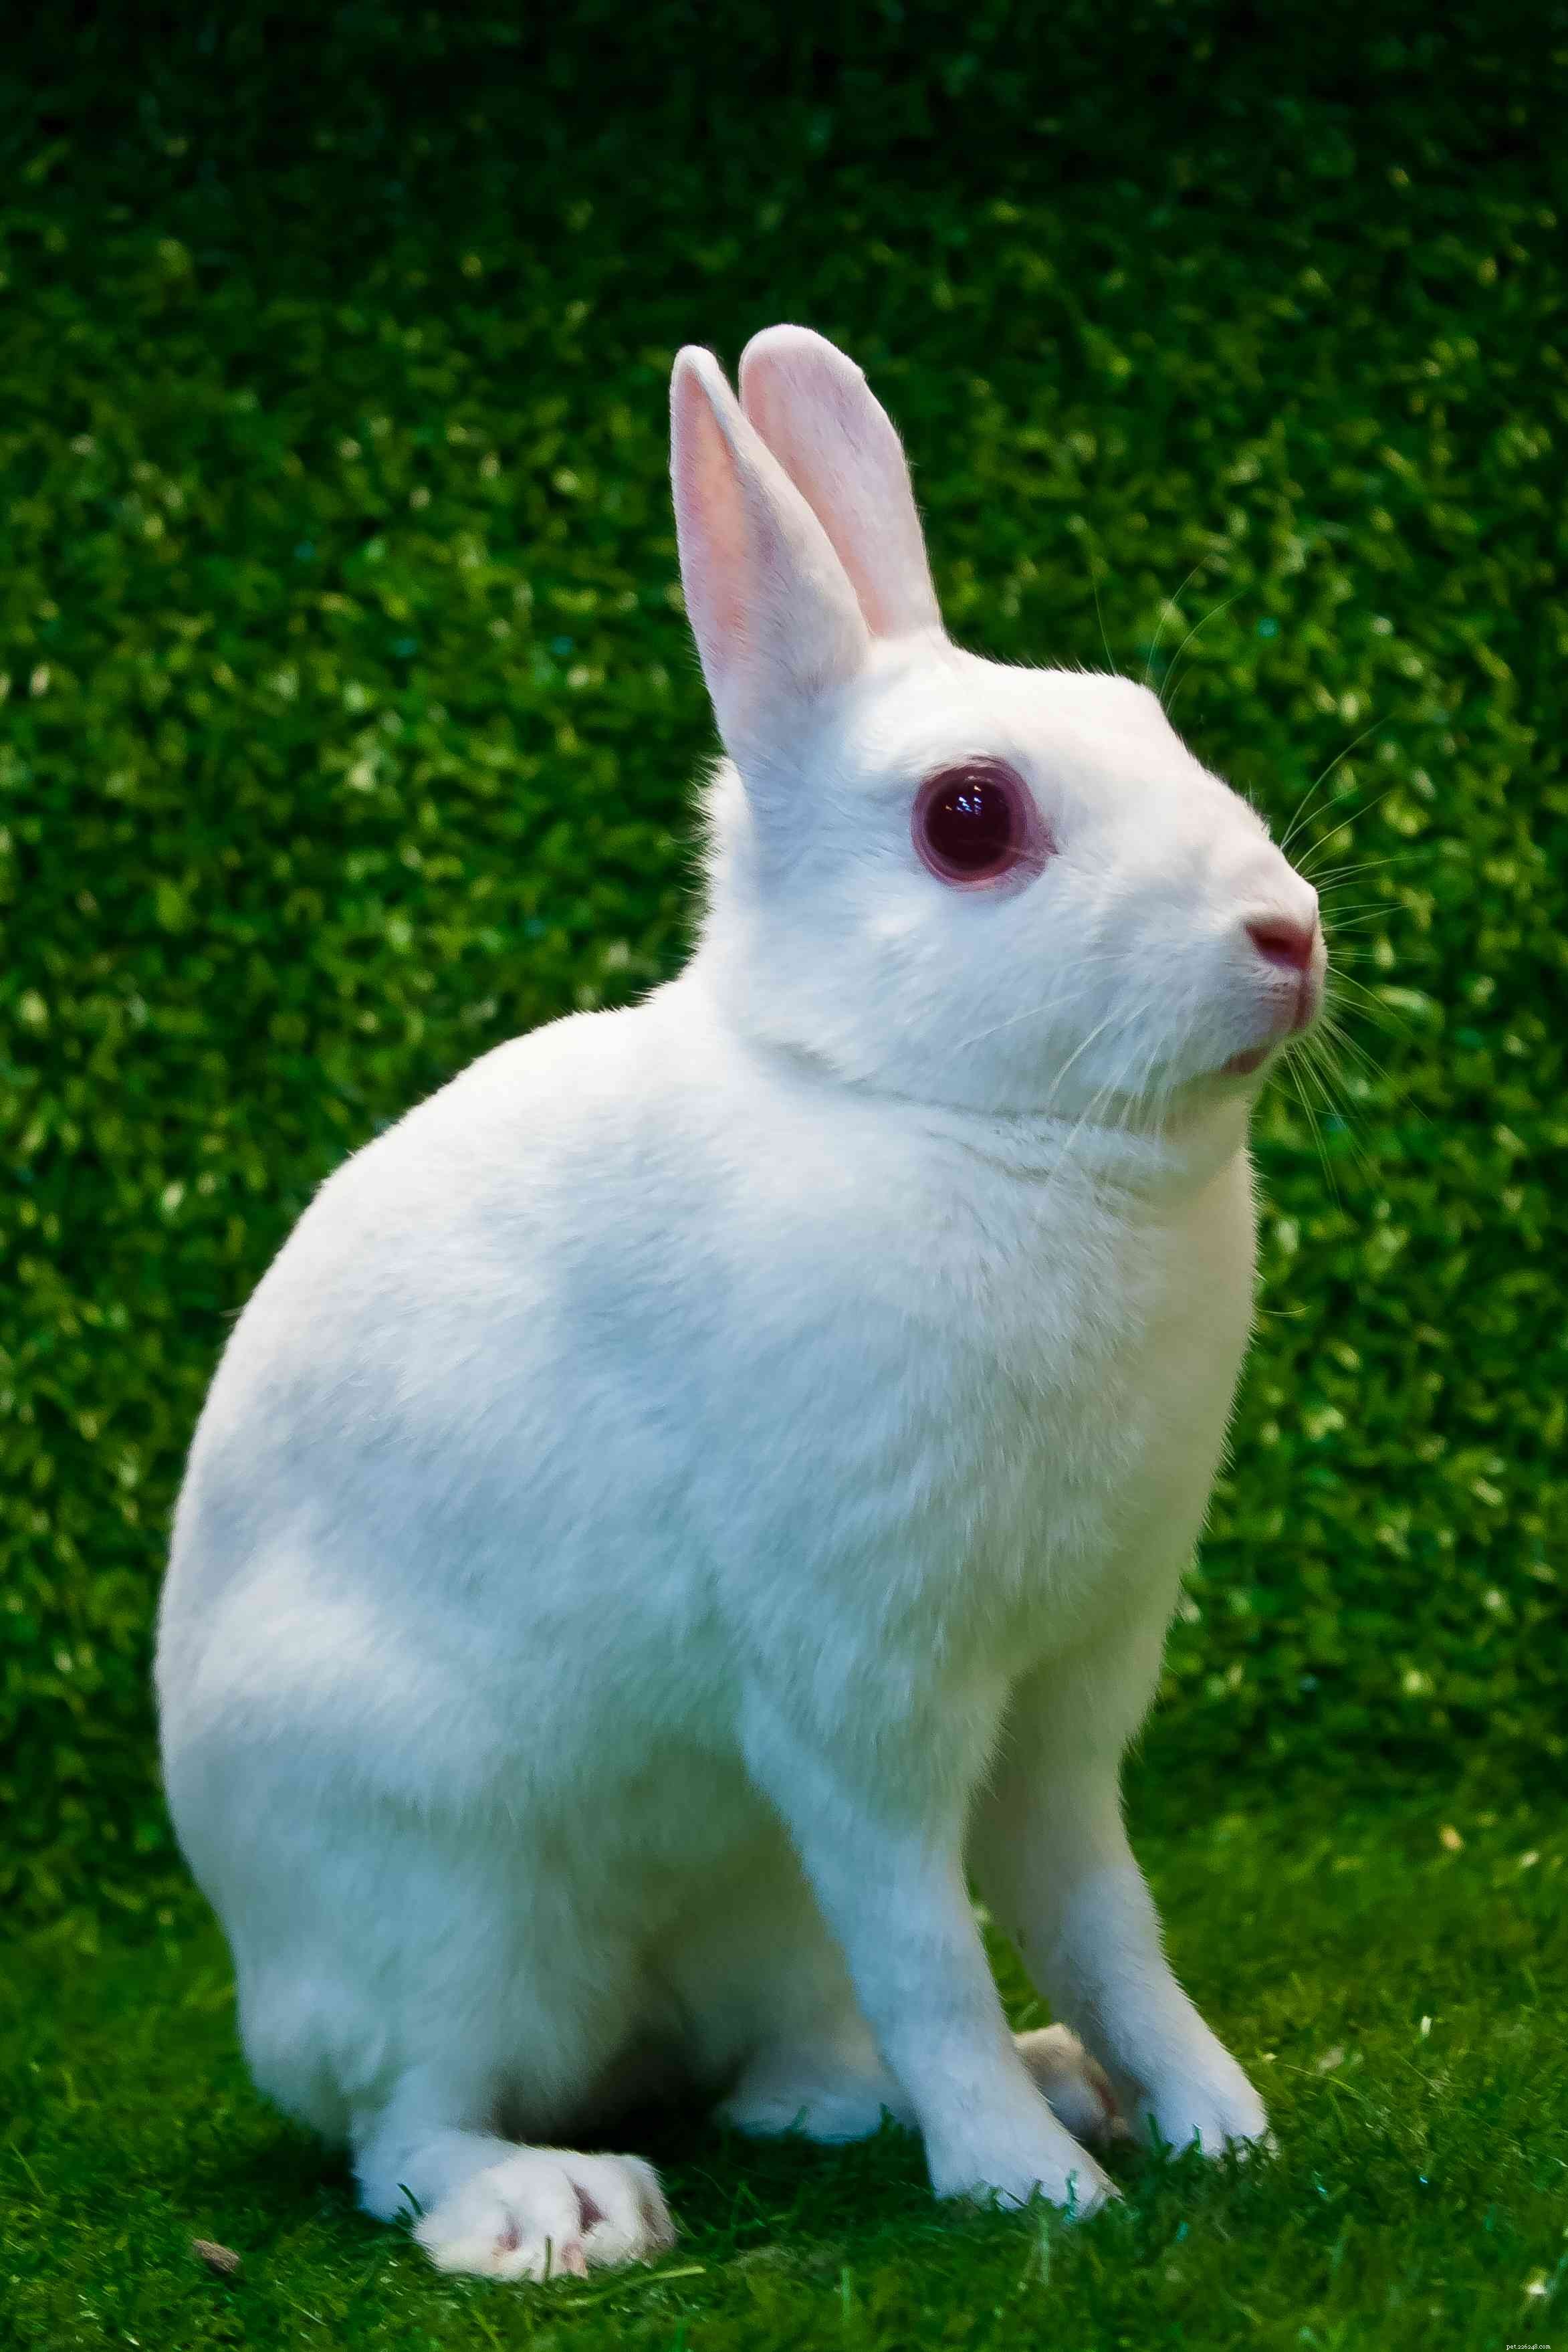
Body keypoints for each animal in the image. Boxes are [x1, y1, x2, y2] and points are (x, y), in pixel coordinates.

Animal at [155, 323, 1323, 2283]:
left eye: (1151, 720)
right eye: (971, 818)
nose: (1289, 932)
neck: (929, 1107)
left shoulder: (1069, 1692)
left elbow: (1104, 1912)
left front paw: (1212, 2123)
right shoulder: (856, 1692)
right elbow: (929, 1939)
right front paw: (1029, 2191)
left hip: (742, 1905)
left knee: (788, 2049)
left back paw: (993, 2080)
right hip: (436, 1894)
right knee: (403, 2125)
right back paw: (557, 2205)